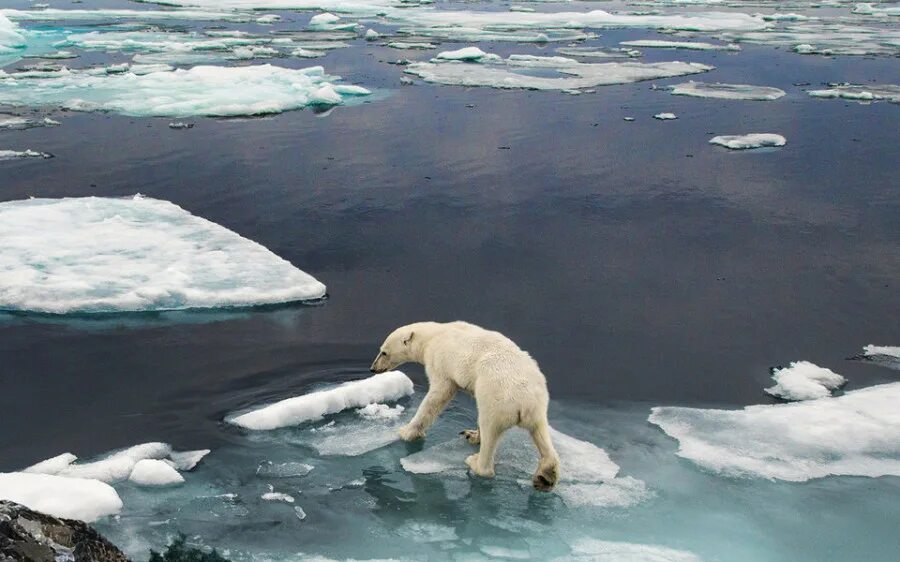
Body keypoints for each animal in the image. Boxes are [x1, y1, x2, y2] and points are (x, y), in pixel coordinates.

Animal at [370, 322, 560, 488]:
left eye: (383, 352)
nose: (373, 368)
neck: (433, 335)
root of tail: (526, 401)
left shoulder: (440, 359)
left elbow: (438, 394)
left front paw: (406, 431)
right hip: (538, 406)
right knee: (540, 432)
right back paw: (545, 475)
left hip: (497, 397)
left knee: (489, 427)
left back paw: (475, 462)